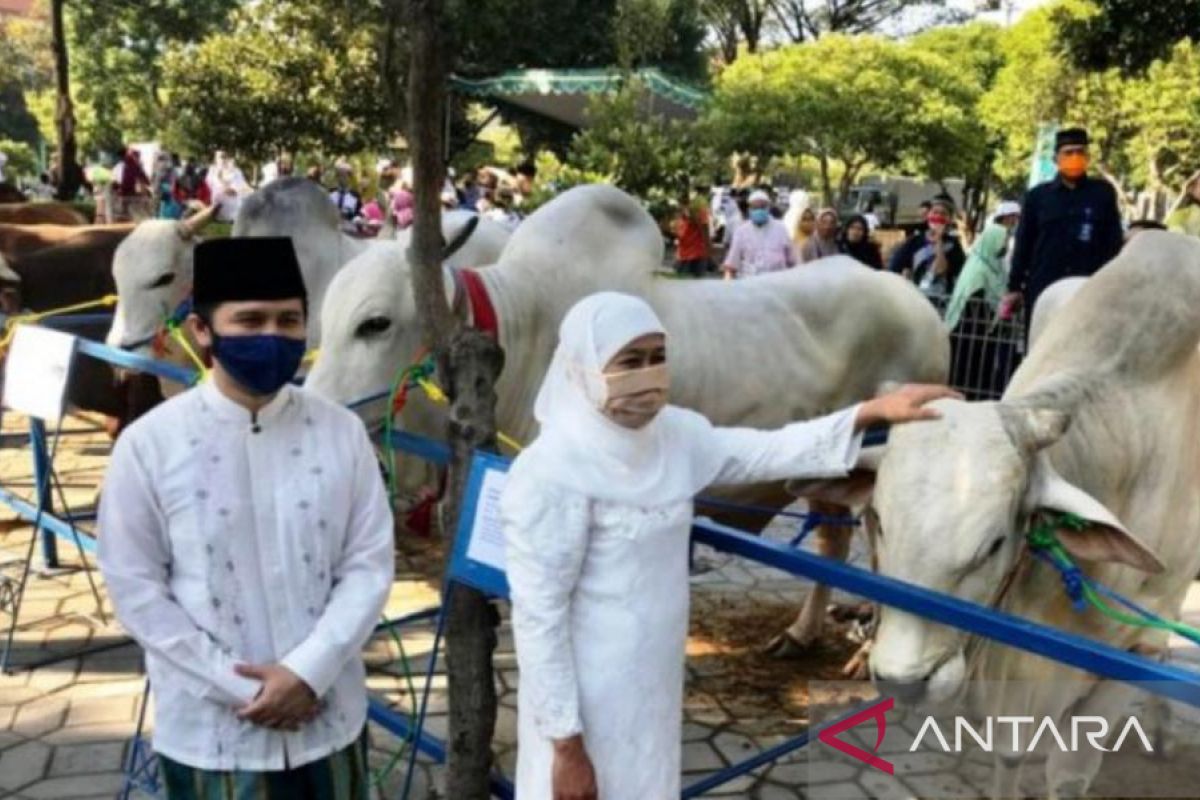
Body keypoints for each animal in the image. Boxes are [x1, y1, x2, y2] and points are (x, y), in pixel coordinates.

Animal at [796, 230, 1200, 796]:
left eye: (992, 544)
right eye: (877, 522)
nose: (903, 680)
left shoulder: (1130, 651)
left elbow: (1068, 775)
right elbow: (1009, 756)